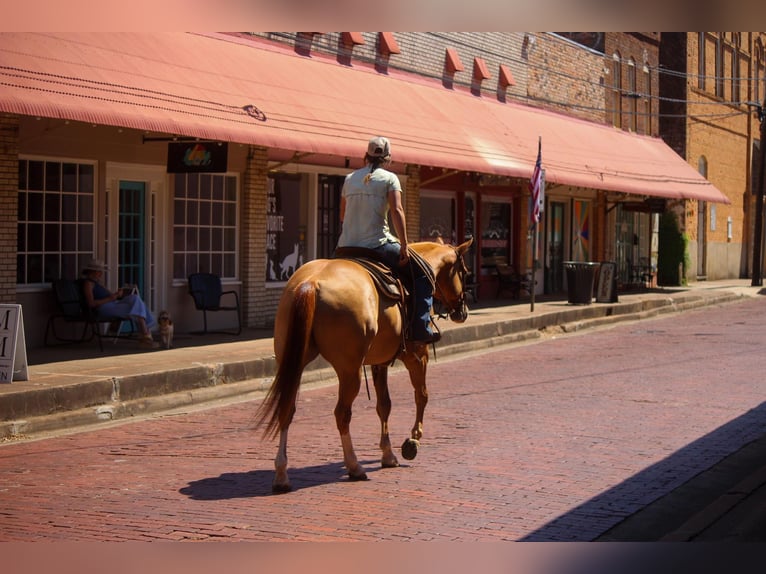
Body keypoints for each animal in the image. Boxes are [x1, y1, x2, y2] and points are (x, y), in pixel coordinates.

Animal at [258, 238, 474, 496]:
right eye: (464, 272)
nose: (462, 312)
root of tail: (311, 283)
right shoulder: (417, 356)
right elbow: (421, 396)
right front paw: (413, 440)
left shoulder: (379, 362)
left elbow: (384, 405)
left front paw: (388, 454)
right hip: (349, 371)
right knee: (342, 414)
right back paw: (354, 466)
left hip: (294, 362)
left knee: (287, 409)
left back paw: (281, 474)